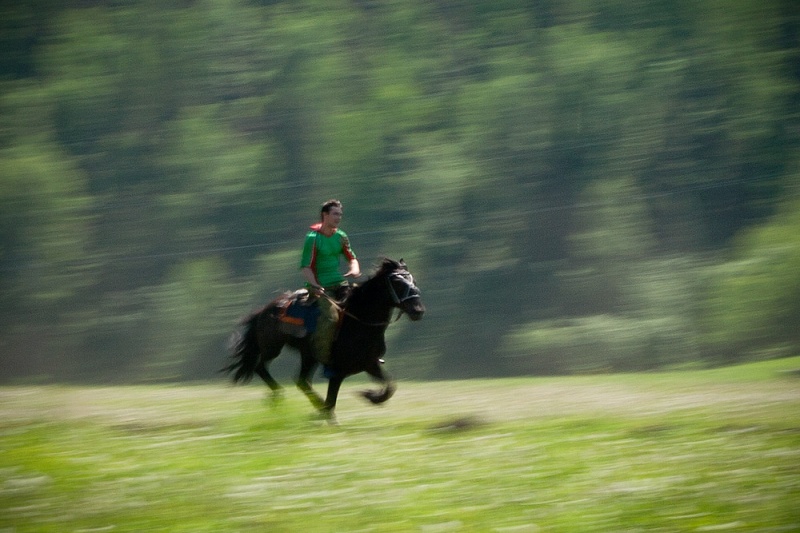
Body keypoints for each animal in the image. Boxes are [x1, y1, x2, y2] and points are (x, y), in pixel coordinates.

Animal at [223, 258, 425, 423]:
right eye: (397, 283)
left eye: (413, 281)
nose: (418, 310)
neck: (358, 322)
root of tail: (264, 310)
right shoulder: (338, 371)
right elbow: (331, 401)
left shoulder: (370, 364)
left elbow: (390, 386)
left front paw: (370, 396)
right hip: (274, 347)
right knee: (261, 368)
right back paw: (278, 395)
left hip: (308, 356)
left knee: (302, 381)